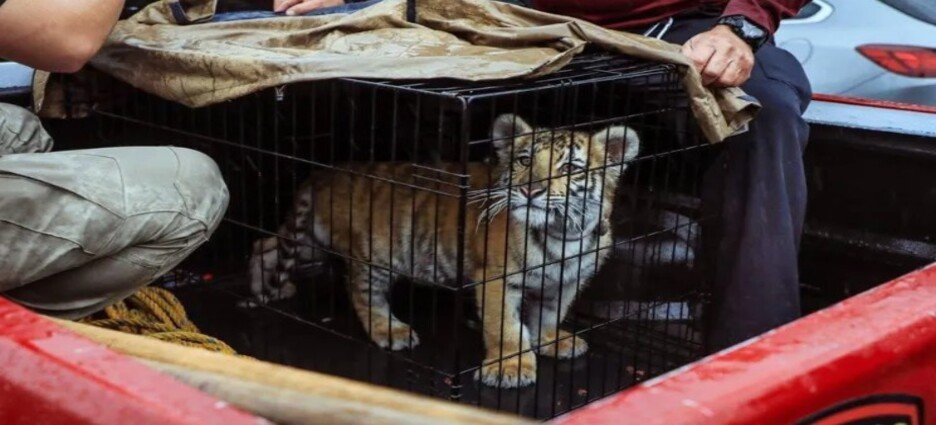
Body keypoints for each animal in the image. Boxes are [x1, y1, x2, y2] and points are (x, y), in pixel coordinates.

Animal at [247, 114, 640, 388]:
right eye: (525, 160)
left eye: (570, 167)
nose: (530, 191)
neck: (564, 232)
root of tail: (327, 171)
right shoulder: (497, 279)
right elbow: (505, 326)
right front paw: (509, 367)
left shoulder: (568, 281)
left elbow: (548, 314)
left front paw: (547, 342)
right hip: (372, 256)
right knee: (364, 295)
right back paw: (390, 330)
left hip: (311, 240)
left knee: (264, 243)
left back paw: (266, 287)